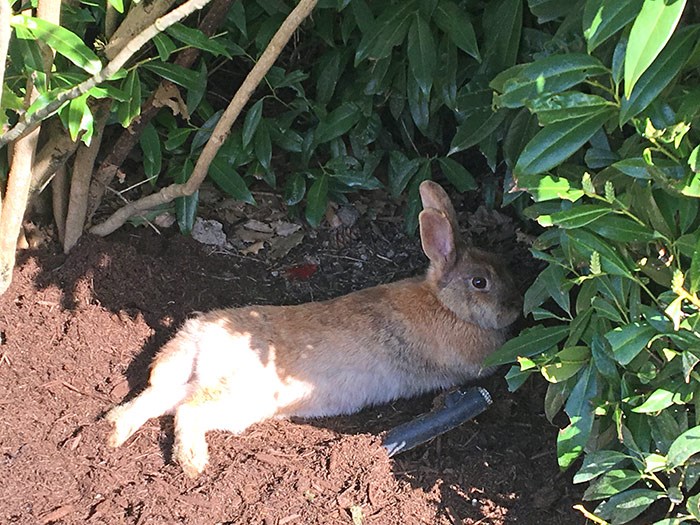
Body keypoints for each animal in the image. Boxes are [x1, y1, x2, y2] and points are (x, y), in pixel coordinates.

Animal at [105, 179, 520, 474]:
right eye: (480, 282)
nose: (516, 309)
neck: (446, 303)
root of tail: (200, 337)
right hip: (238, 396)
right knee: (188, 411)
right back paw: (192, 462)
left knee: (160, 399)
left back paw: (114, 430)